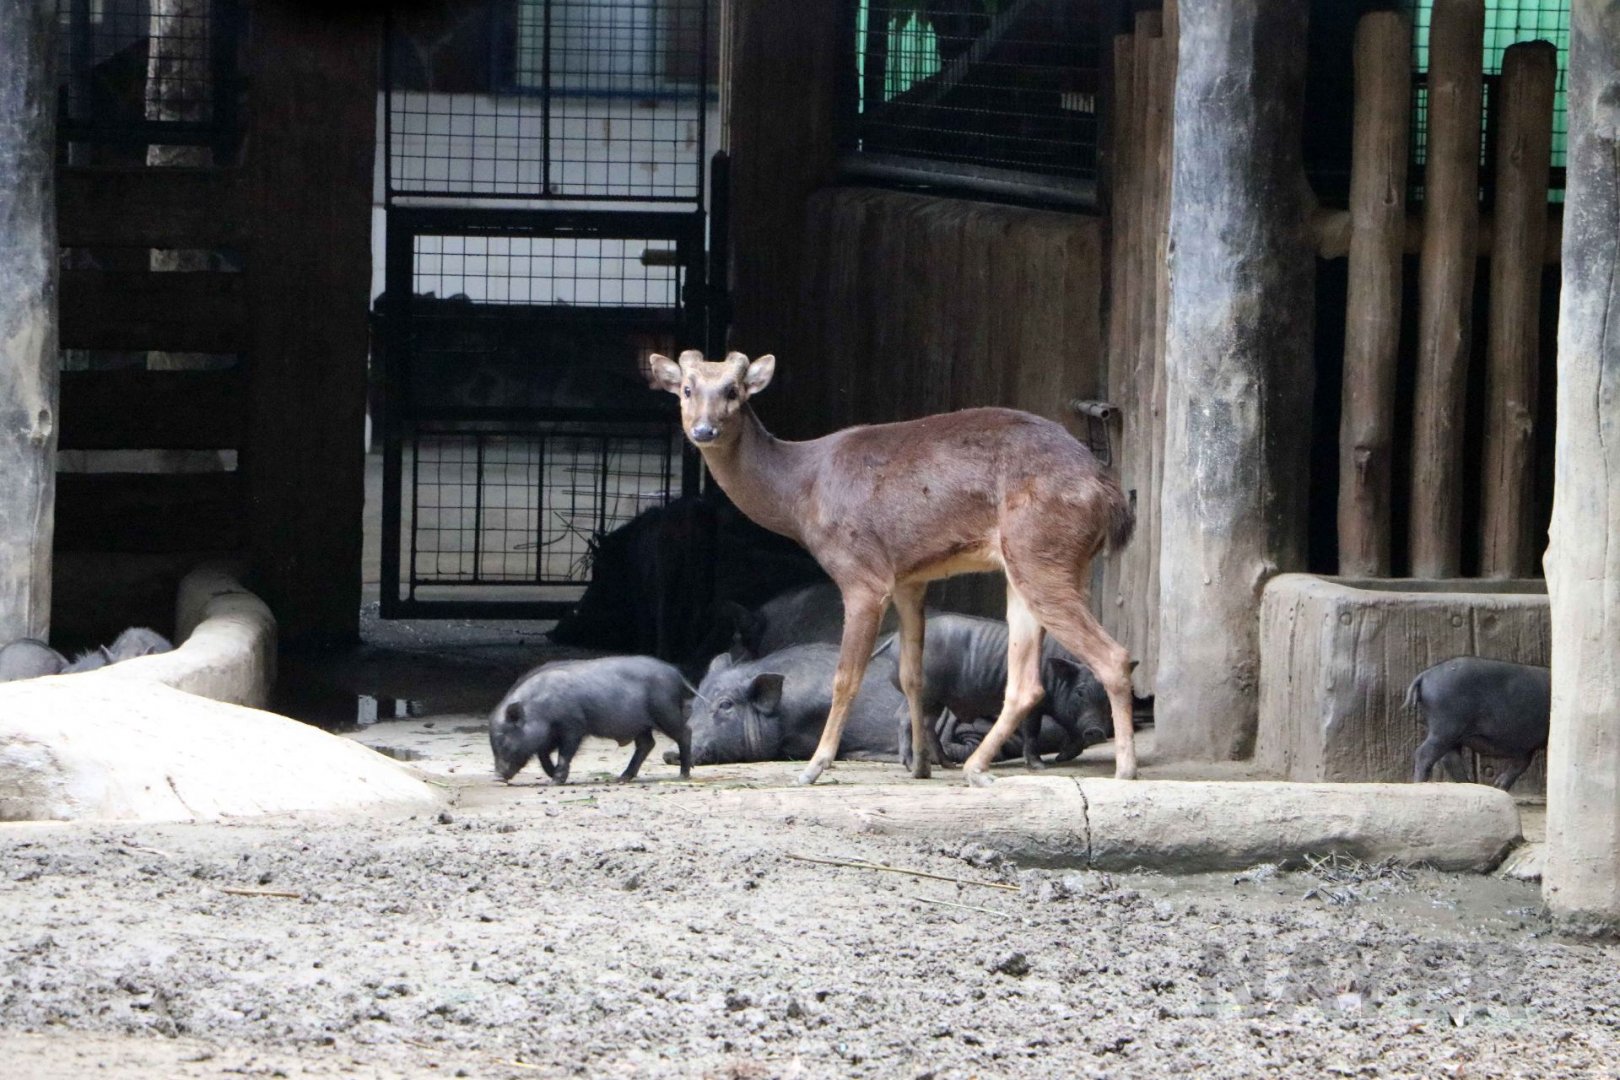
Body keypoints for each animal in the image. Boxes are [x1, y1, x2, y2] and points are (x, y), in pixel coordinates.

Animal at [648, 349, 1138, 787]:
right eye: (687, 389)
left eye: (733, 390)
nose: (704, 429)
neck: (801, 494)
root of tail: (1109, 496)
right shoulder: (909, 578)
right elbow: (911, 676)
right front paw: (920, 765)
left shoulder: (861, 572)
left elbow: (846, 676)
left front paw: (814, 767)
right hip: (1025, 565)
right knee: (1027, 684)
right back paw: (975, 767)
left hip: (1042, 550)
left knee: (1114, 656)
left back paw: (1125, 768)